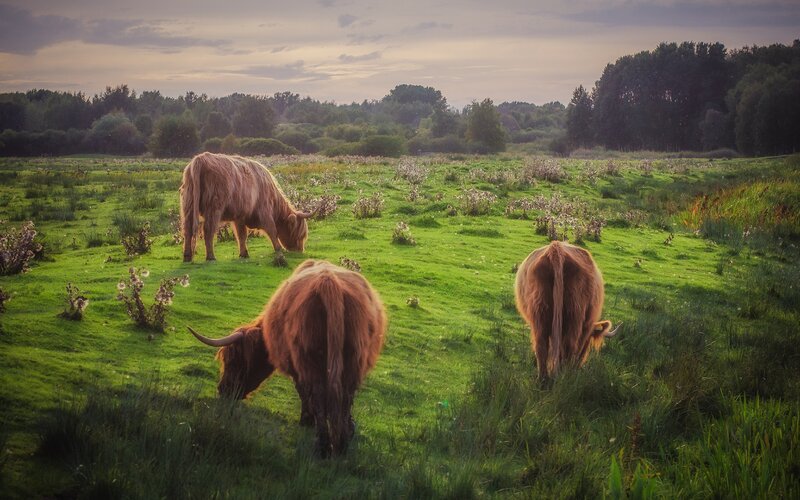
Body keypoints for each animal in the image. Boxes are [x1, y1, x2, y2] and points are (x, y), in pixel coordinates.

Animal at [180, 152, 312, 262]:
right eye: (300, 234)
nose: (300, 250)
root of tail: (200, 159)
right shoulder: (264, 211)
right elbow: (272, 230)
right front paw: (279, 249)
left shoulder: (240, 216)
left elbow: (241, 235)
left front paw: (244, 254)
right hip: (214, 207)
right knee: (208, 230)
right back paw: (211, 257)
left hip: (188, 206)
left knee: (187, 230)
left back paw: (187, 257)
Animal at [189, 259, 387, 458]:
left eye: (233, 361)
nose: (222, 389)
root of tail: (328, 283)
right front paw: (350, 426)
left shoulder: (295, 367)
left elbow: (303, 392)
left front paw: (307, 420)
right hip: (353, 360)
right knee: (345, 395)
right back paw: (342, 444)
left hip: (308, 360)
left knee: (318, 393)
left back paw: (322, 446)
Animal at [514, 241, 620, 381]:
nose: (580, 365)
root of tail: (555, 248)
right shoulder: (586, 326)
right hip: (575, 313)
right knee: (569, 344)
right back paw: (565, 376)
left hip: (539, 314)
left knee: (541, 345)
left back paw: (544, 379)